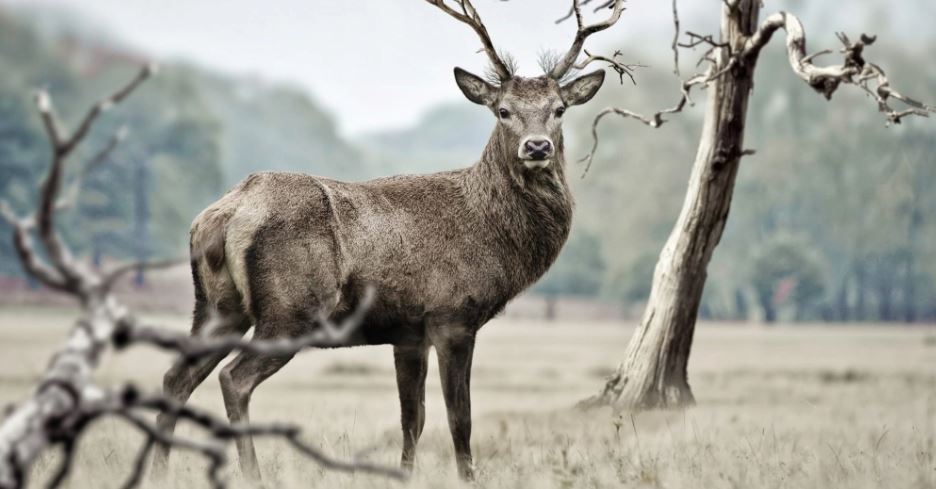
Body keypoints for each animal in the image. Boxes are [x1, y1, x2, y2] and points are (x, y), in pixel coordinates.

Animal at [150, 0, 624, 480]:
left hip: (216, 306)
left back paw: (159, 471)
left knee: (176, 377)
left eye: (559, 108)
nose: (537, 147)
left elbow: (412, 418)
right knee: (234, 378)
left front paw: (405, 475)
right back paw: (252, 474)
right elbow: (460, 417)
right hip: (291, 308)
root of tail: (223, 213)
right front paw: (468, 478)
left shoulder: (408, 332)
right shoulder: (452, 314)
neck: (491, 233)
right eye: (503, 111)